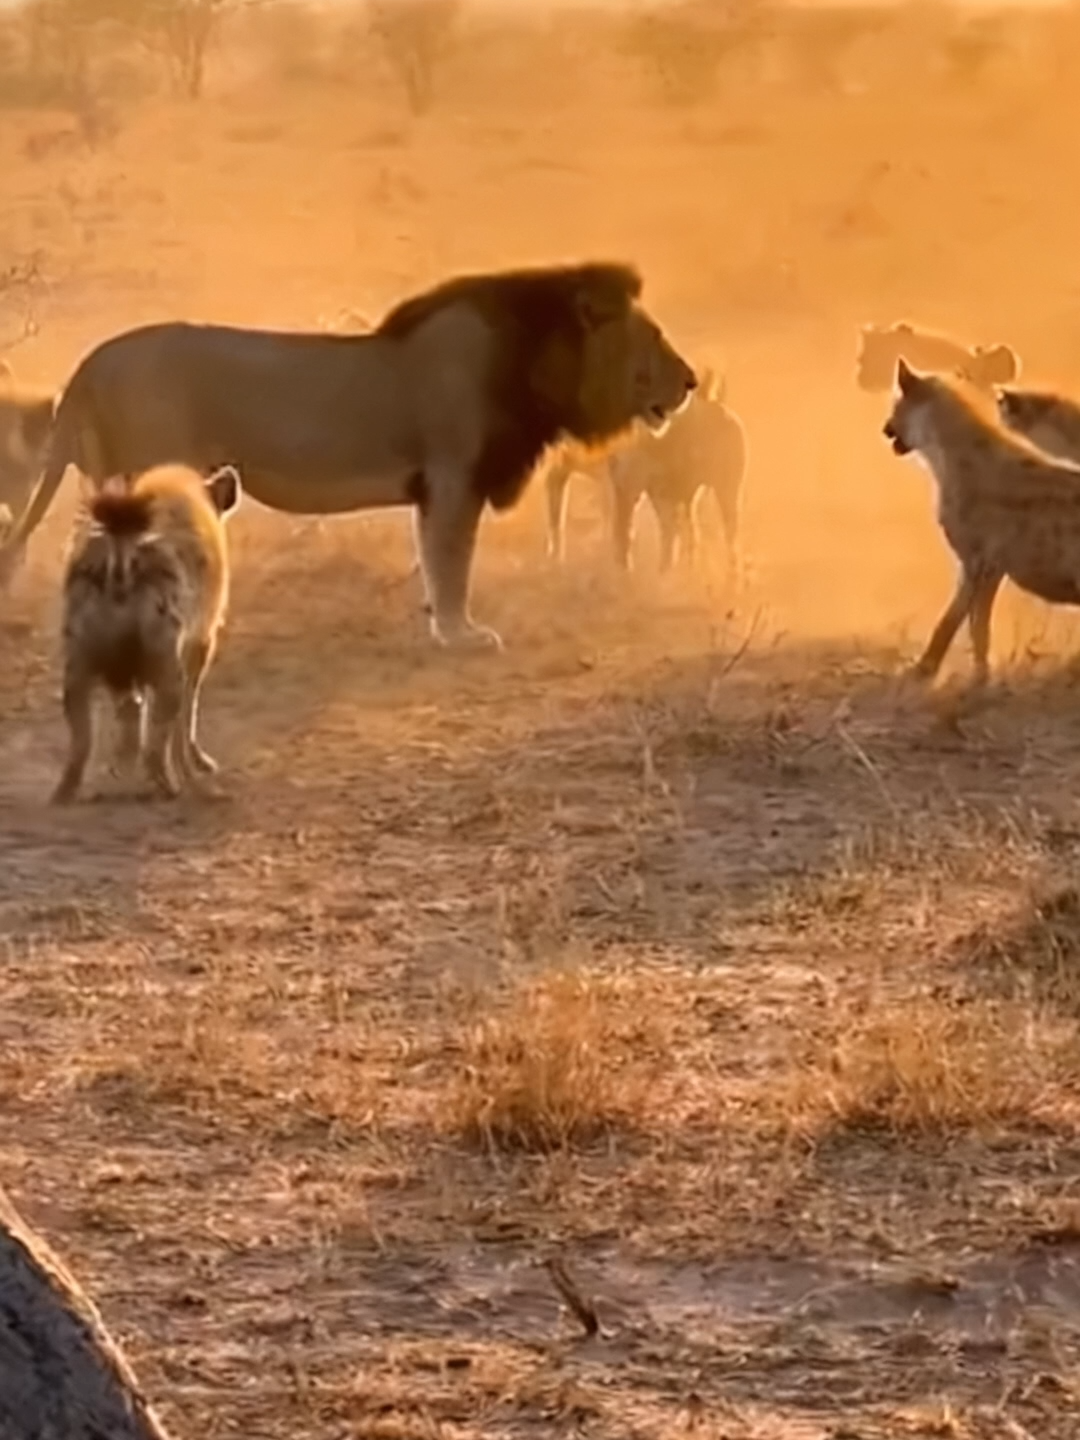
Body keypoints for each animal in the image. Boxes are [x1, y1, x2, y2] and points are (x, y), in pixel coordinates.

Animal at [0, 262, 697, 652]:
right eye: (655, 336)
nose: (691, 382)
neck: (535, 358)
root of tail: (88, 364)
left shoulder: (437, 487)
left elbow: (436, 559)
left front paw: (442, 624)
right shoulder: (453, 477)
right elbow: (452, 561)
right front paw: (461, 634)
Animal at [53, 463, 240, 804]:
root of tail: (119, 557)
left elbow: (130, 709)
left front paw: (120, 767)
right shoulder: (200, 638)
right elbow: (188, 710)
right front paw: (197, 763)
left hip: (78, 656)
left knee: (80, 736)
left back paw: (64, 793)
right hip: (164, 658)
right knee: (162, 729)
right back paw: (172, 787)